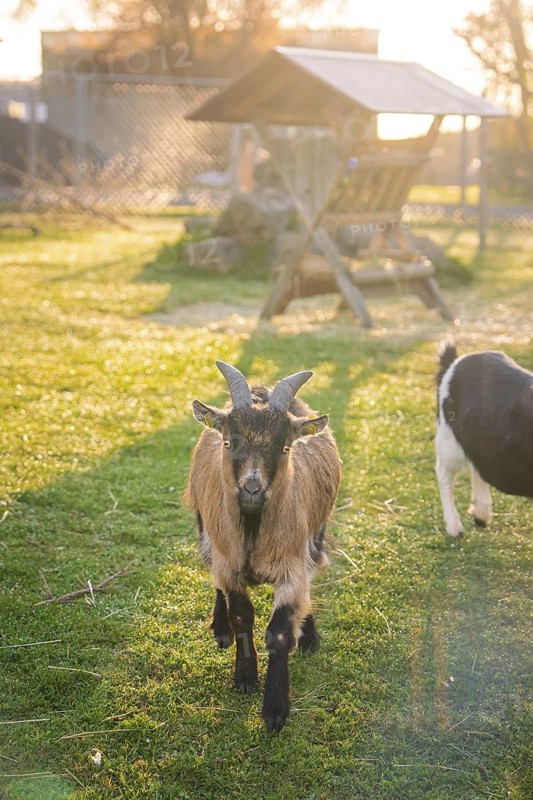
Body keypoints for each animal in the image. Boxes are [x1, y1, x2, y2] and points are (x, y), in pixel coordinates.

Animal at [185, 361, 341, 732]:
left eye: (285, 447)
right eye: (229, 442)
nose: (252, 489)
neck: (253, 529)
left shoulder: (292, 566)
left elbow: (280, 632)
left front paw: (275, 709)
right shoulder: (229, 563)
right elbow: (242, 616)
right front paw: (244, 676)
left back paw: (309, 635)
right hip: (206, 530)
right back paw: (220, 629)